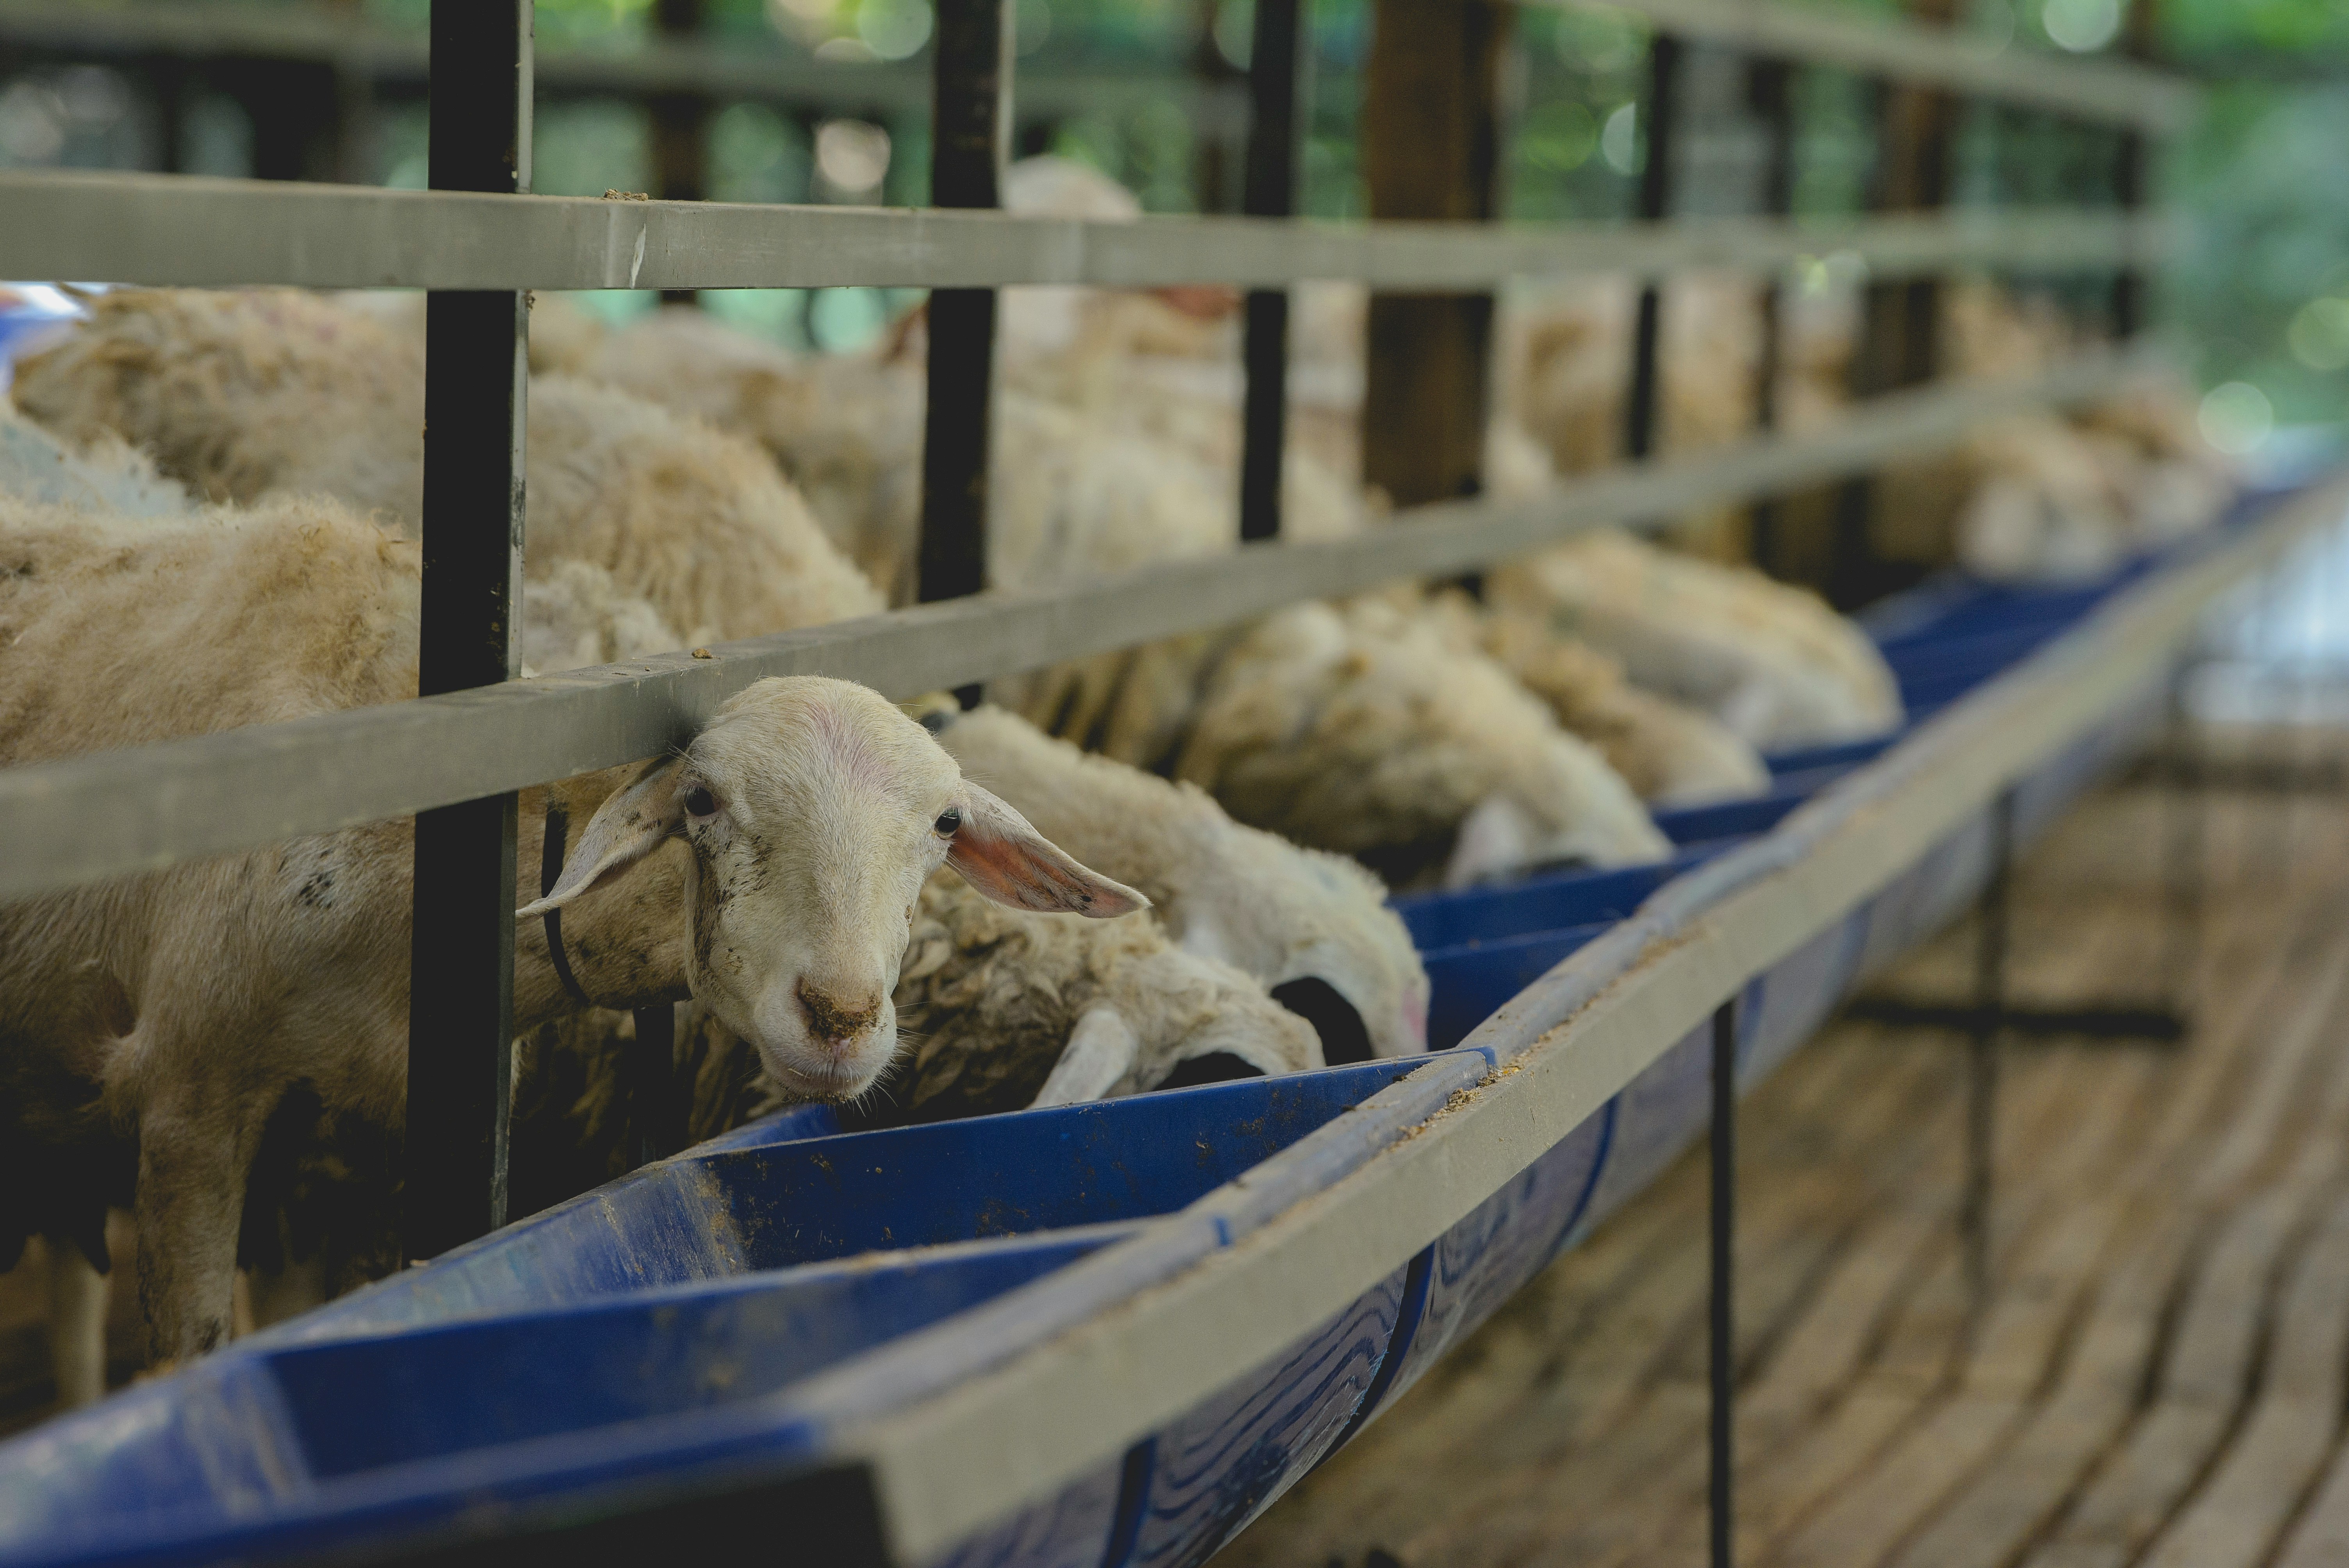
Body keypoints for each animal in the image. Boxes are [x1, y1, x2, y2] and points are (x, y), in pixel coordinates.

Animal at [0, 494, 1148, 1368]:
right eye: (701, 802)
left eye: (947, 825)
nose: (841, 1016)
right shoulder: (190, 1101)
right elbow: (193, 1349)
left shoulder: (346, 1157)